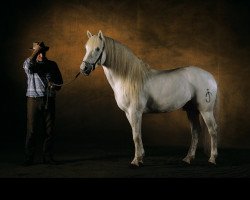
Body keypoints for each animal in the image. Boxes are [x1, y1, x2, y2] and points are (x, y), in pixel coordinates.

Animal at [79, 30, 217, 166]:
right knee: (195, 131)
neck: (128, 78)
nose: (84, 69)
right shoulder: (128, 113)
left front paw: (136, 160)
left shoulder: (135, 112)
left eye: (97, 49)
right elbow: (136, 134)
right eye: (86, 48)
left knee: (213, 130)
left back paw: (212, 158)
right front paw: (141, 156)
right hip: (191, 110)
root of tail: (211, 77)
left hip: (206, 110)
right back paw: (188, 158)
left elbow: (136, 135)